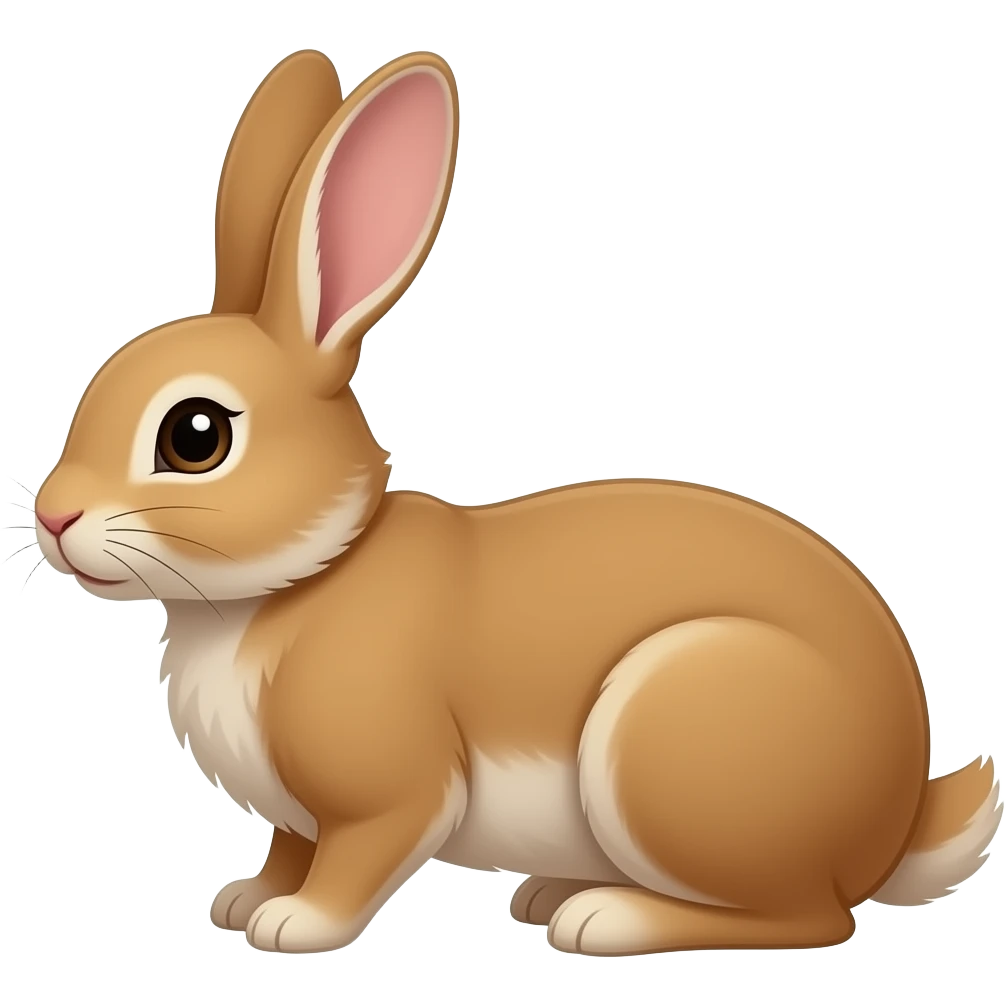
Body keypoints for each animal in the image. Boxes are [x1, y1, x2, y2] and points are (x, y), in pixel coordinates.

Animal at [33, 48, 1001, 957]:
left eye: (194, 437)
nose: (52, 517)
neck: (303, 575)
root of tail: (896, 820)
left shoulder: (391, 791)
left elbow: (358, 856)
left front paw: (295, 924)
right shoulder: (296, 816)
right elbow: (289, 847)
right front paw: (244, 900)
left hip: (674, 742)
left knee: (809, 917)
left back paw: (605, 918)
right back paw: (549, 894)